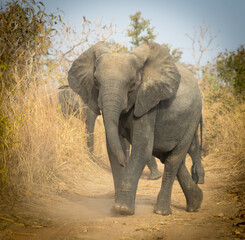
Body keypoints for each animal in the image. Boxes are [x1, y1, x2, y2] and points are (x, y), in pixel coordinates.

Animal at [68, 40, 205, 216]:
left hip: (193, 117)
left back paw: (162, 211)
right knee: (170, 156)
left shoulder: (148, 101)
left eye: (132, 84)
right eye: (96, 82)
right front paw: (116, 208)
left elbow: (142, 148)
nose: (124, 163)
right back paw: (196, 203)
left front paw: (122, 209)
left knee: (174, 158)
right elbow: (113, 149)